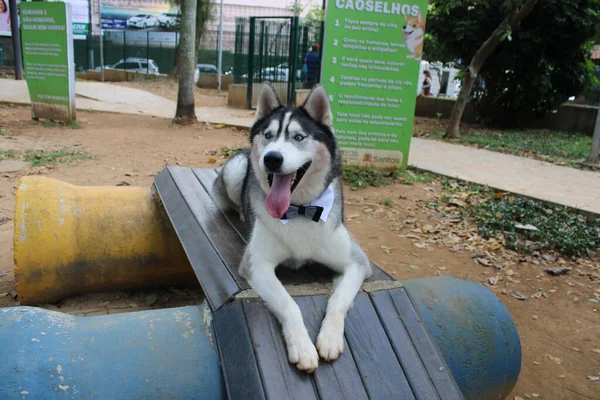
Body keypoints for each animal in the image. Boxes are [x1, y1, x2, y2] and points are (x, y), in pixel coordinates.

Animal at [211, 83, 370, 374]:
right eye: (268, 135)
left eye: (298, 137)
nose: (272, 158)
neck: (299, 210)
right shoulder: (257, 264)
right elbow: (288, 303)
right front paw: (303, 347)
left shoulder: (358, 262)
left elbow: (338, 300)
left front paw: (330, 338)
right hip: (236, 171)